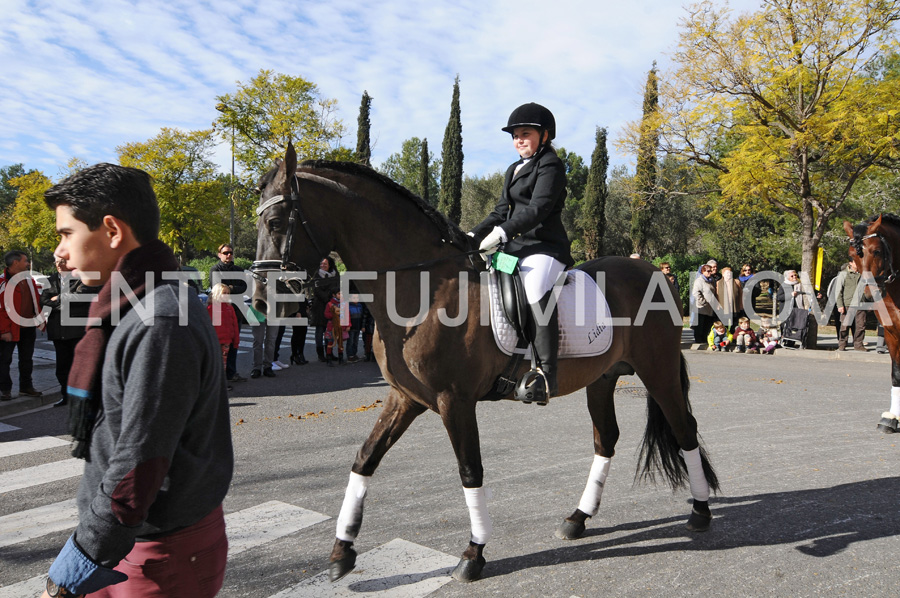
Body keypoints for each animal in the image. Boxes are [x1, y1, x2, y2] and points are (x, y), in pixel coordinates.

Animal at [253, 143, 716, 584]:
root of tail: (655, 273)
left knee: (684, 429)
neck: (423, 288)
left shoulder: (453, 400)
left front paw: (473, 555)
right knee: (606, 439)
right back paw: (578, 519)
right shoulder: (405, 397)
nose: (261, 301)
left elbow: (469, 470)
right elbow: (366, 458)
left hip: (657, 372)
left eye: (275, 223)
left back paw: (699, 511)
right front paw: (341, 553)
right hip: (601, 379)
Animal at [844, 216, 900, 436]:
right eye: (852, 255)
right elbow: (896, 375)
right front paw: (891, 419)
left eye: (876, 251)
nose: (869, 294)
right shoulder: (893, 335)